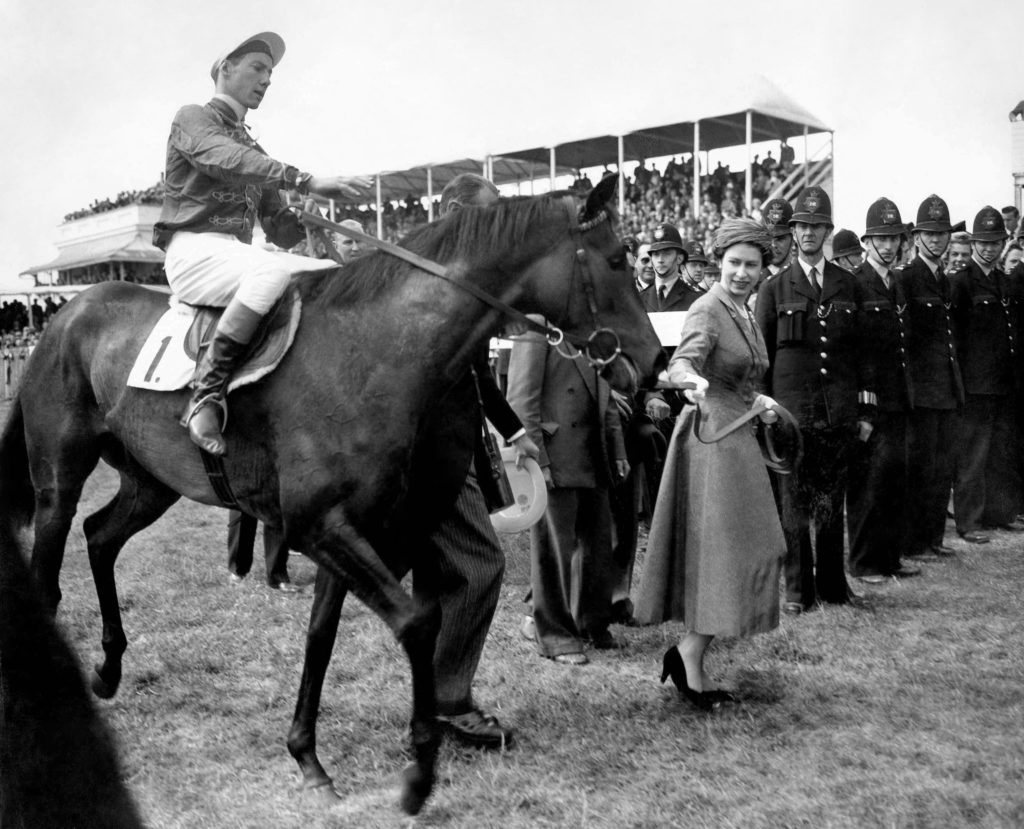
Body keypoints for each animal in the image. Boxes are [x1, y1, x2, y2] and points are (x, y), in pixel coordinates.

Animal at [0, 176, 663, 814]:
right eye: (619, 258)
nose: (656, 362)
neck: (371, 350)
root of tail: (68, 311)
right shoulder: (320, 527)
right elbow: (417, 622)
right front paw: (418, 773)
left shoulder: (358, 530)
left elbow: (322, 637)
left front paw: (309, 759)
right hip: (58, 480)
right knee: (51, 573)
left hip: (151, 481)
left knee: (100, 537)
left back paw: (108, 670)